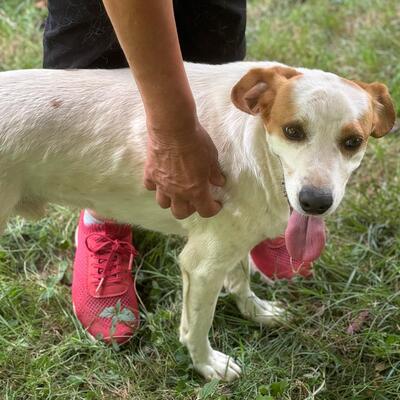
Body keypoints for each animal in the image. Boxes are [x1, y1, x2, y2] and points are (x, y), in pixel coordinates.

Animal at [0, 62, 396, 382]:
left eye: (353, 141)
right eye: (293, 131)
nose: (315, 202)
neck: (255, 147)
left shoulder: (232, 242)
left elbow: (241, 278)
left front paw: (255, 310)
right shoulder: (201, 265)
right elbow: (197, 326)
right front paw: (207, 366)